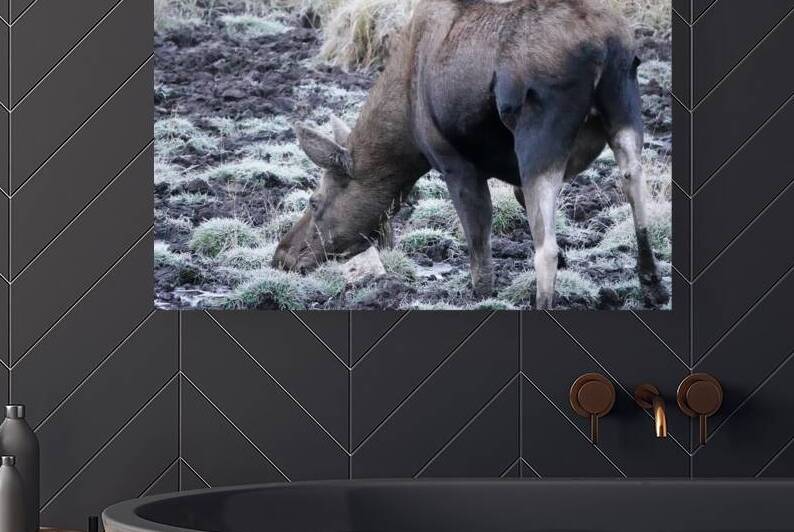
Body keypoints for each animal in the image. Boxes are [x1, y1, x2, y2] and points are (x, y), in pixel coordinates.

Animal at [273, 0, 670, 309]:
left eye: (314, 201)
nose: (282, 255)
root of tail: (603, 46)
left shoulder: (454, 162)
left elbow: (479, 241)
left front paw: (479, 293)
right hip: (625, 109)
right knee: (634, 184)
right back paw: (652, 285)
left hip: (538, 133)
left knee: (546, 247)